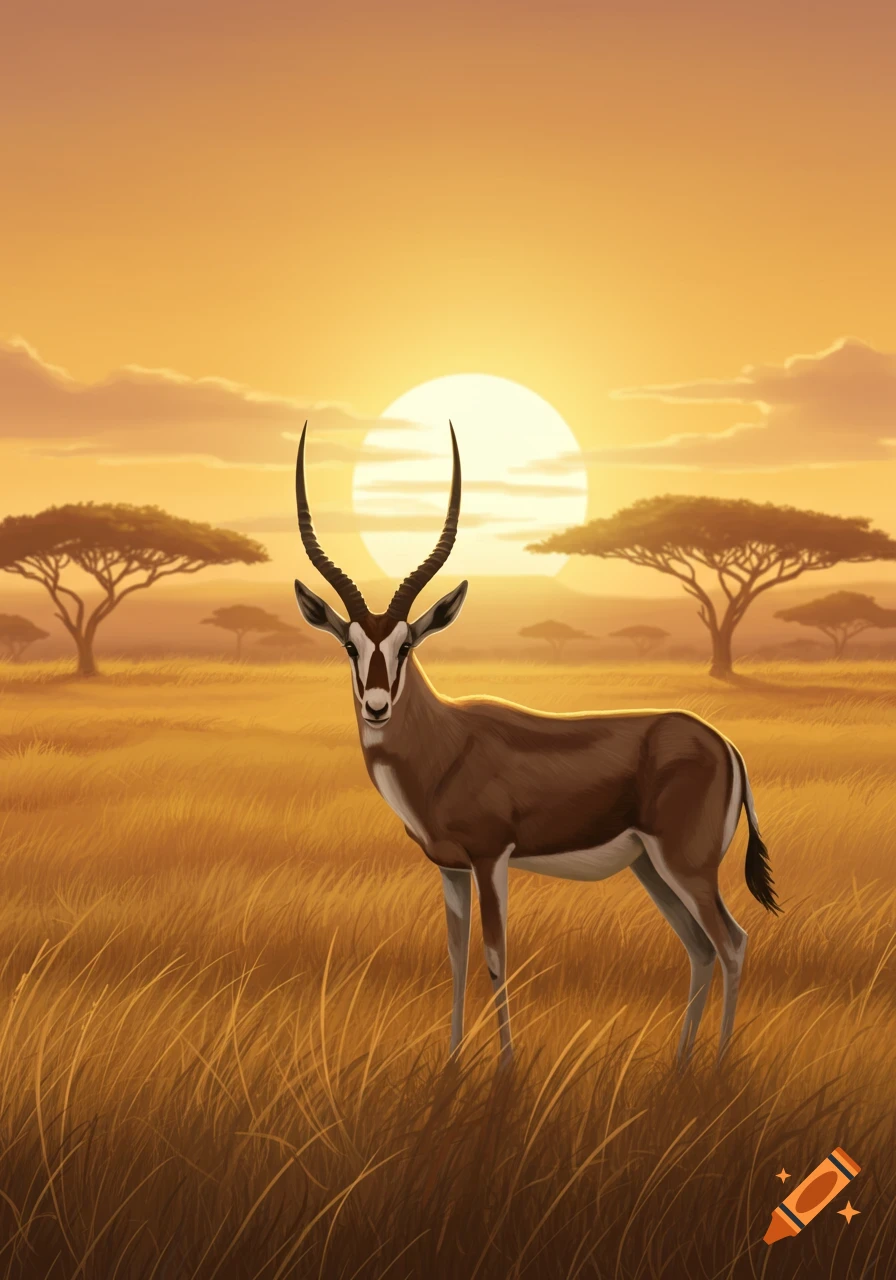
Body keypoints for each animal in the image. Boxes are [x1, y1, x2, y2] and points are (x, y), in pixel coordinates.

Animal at [294, 422, 781, 1066]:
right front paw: (453, 1063)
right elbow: (455, 958)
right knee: (700, 949)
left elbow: (496, 958)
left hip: (686, 865)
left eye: (407, 644)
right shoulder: (450, 868)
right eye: (350, 645)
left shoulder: (491, 857)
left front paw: (506, 1067)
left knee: (732, 942)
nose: (377, 706)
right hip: (651, 868)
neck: (446, 746)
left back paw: (718, 1066)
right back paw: (680, 1066)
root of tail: (725, 744)